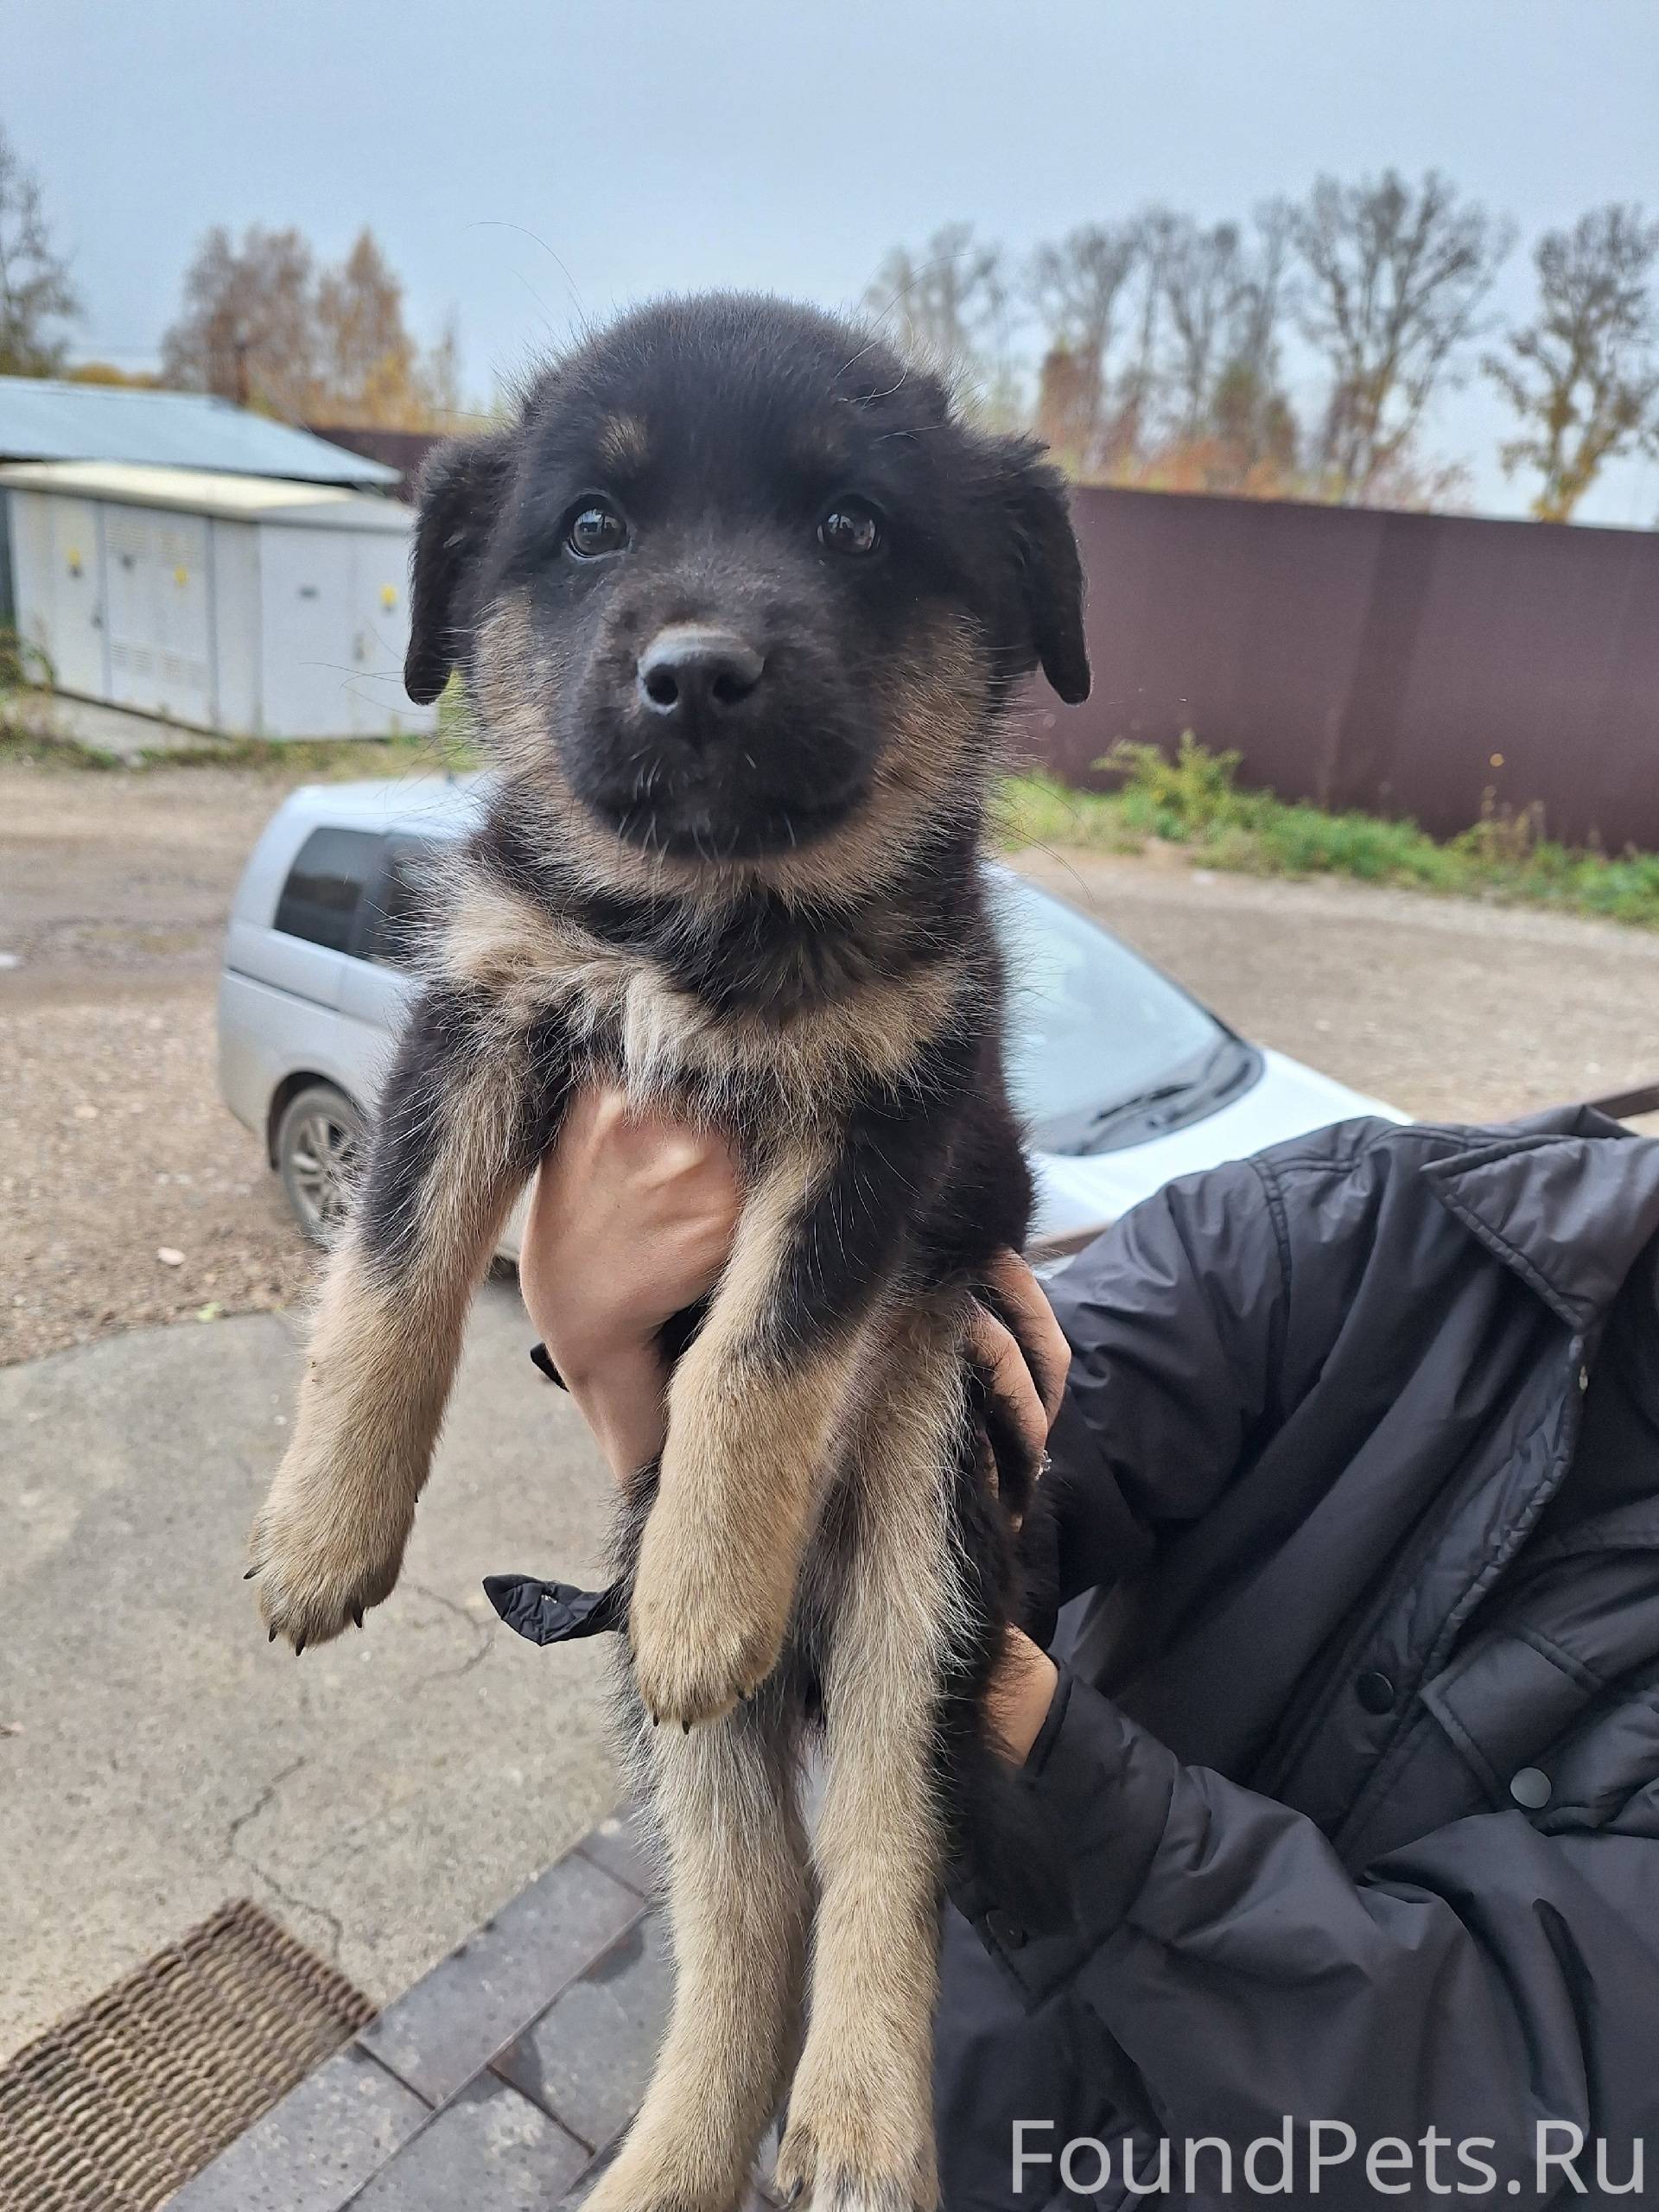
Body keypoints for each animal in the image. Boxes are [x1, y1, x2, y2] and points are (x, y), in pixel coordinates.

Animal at [246, 291, 1089, 2211]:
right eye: (590, 528)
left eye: (853, 526)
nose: (697, 673)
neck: (706, 924)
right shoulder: (481, 1014)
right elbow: (393, 1265)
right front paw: (324, 1528)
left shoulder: (893, 1122)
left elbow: (762, 1347)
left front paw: (715, 1584)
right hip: (683, 1690)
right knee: (750, 1909)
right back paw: (670, 2162)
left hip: (928, 1523)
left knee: (882, 1846)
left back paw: (857, 2120)